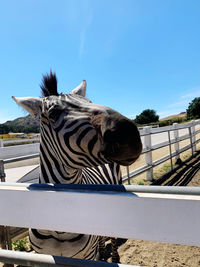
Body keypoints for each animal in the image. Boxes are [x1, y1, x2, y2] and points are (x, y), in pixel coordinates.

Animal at [12, 71, 142, 264]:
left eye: (90, 101)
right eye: (54, 113)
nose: (130, 134)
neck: (60, 228)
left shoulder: (86, 256)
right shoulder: (45, 256)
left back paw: (113, 256)